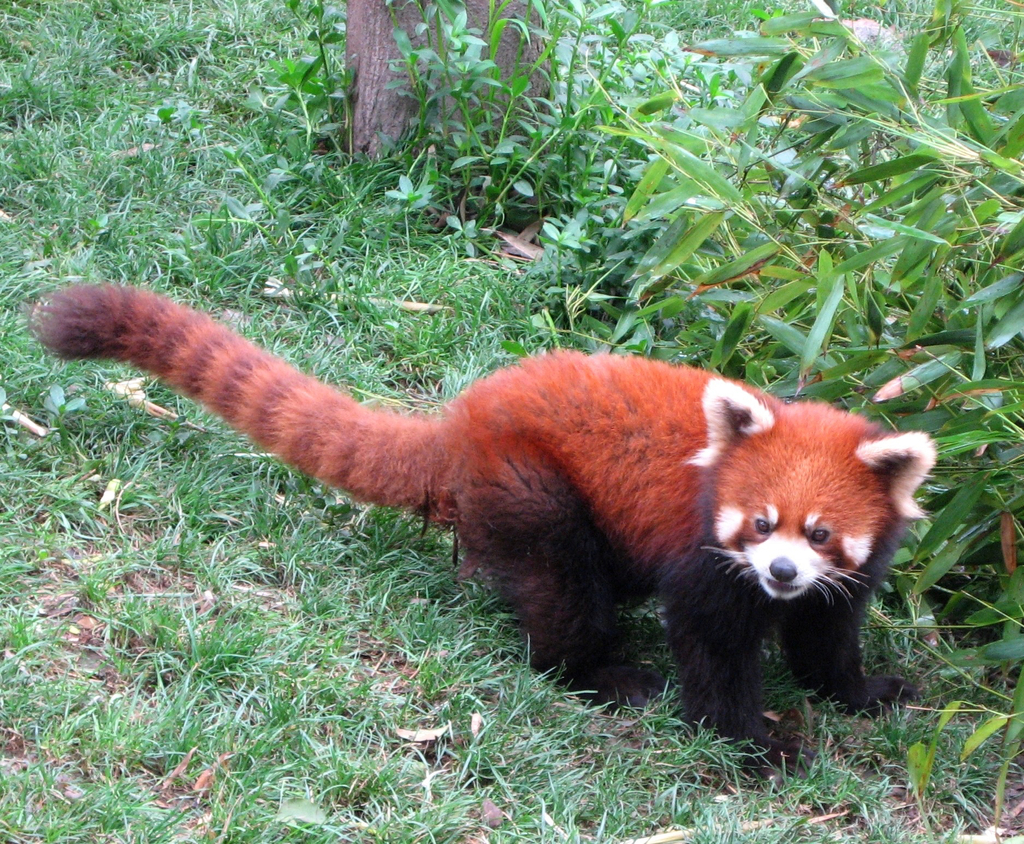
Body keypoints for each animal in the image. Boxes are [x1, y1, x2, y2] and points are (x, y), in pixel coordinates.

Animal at [29, 286, 937, 774]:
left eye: (819, 536)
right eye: (759, 523)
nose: (780, 574)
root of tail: (460, 420)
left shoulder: (846, 579)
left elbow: (827, 636)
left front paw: (860, 692)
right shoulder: (705, 559)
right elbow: (712, 654)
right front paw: (755, 746)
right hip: (533, 488)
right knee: (566, 599)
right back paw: (601, 672)